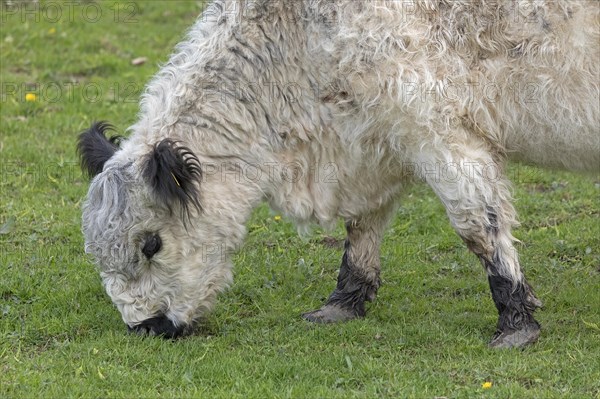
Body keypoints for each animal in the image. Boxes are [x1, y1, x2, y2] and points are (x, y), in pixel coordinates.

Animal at [78, 0, 600, 350]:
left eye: (151, 244)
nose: (147, 327)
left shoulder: (439, 130)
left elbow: (479, 224)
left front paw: (515, 321)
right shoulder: (371, 142)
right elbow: (363, 223)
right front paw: (344, 301)